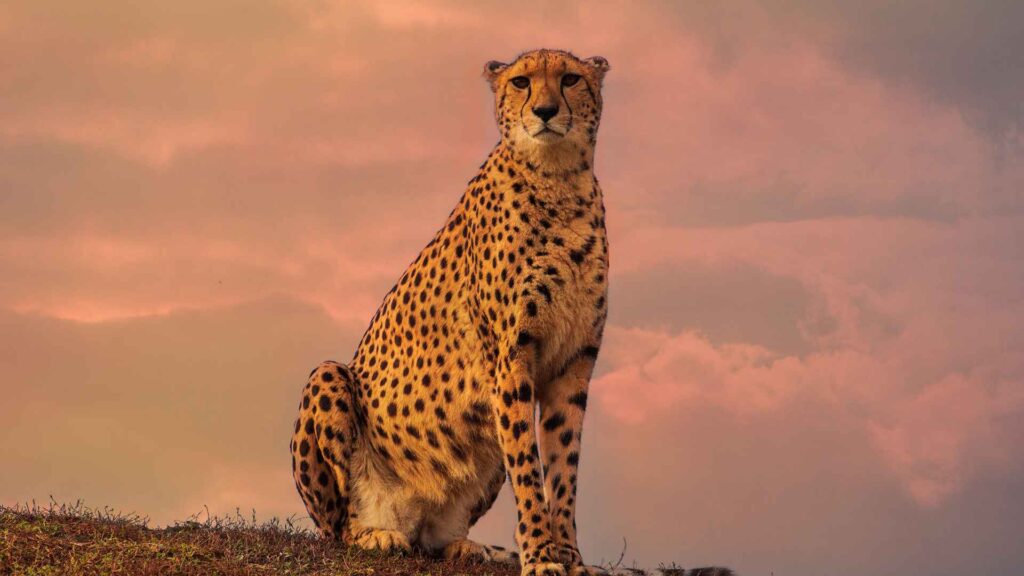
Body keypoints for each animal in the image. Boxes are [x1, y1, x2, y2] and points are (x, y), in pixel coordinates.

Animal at [290, 48, 611, 576]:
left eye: (569, 79)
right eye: (521, 81)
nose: (545, 111)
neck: (558, 178)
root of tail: (412, 518)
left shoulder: (574, 363)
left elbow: (564, 469)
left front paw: (570, 558)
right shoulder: (511, 361)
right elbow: (529, 467)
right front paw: (541, 556)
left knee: (436, 537)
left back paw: (466, 546)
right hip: (329, 376)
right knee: (336, 526)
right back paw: (373, 534)